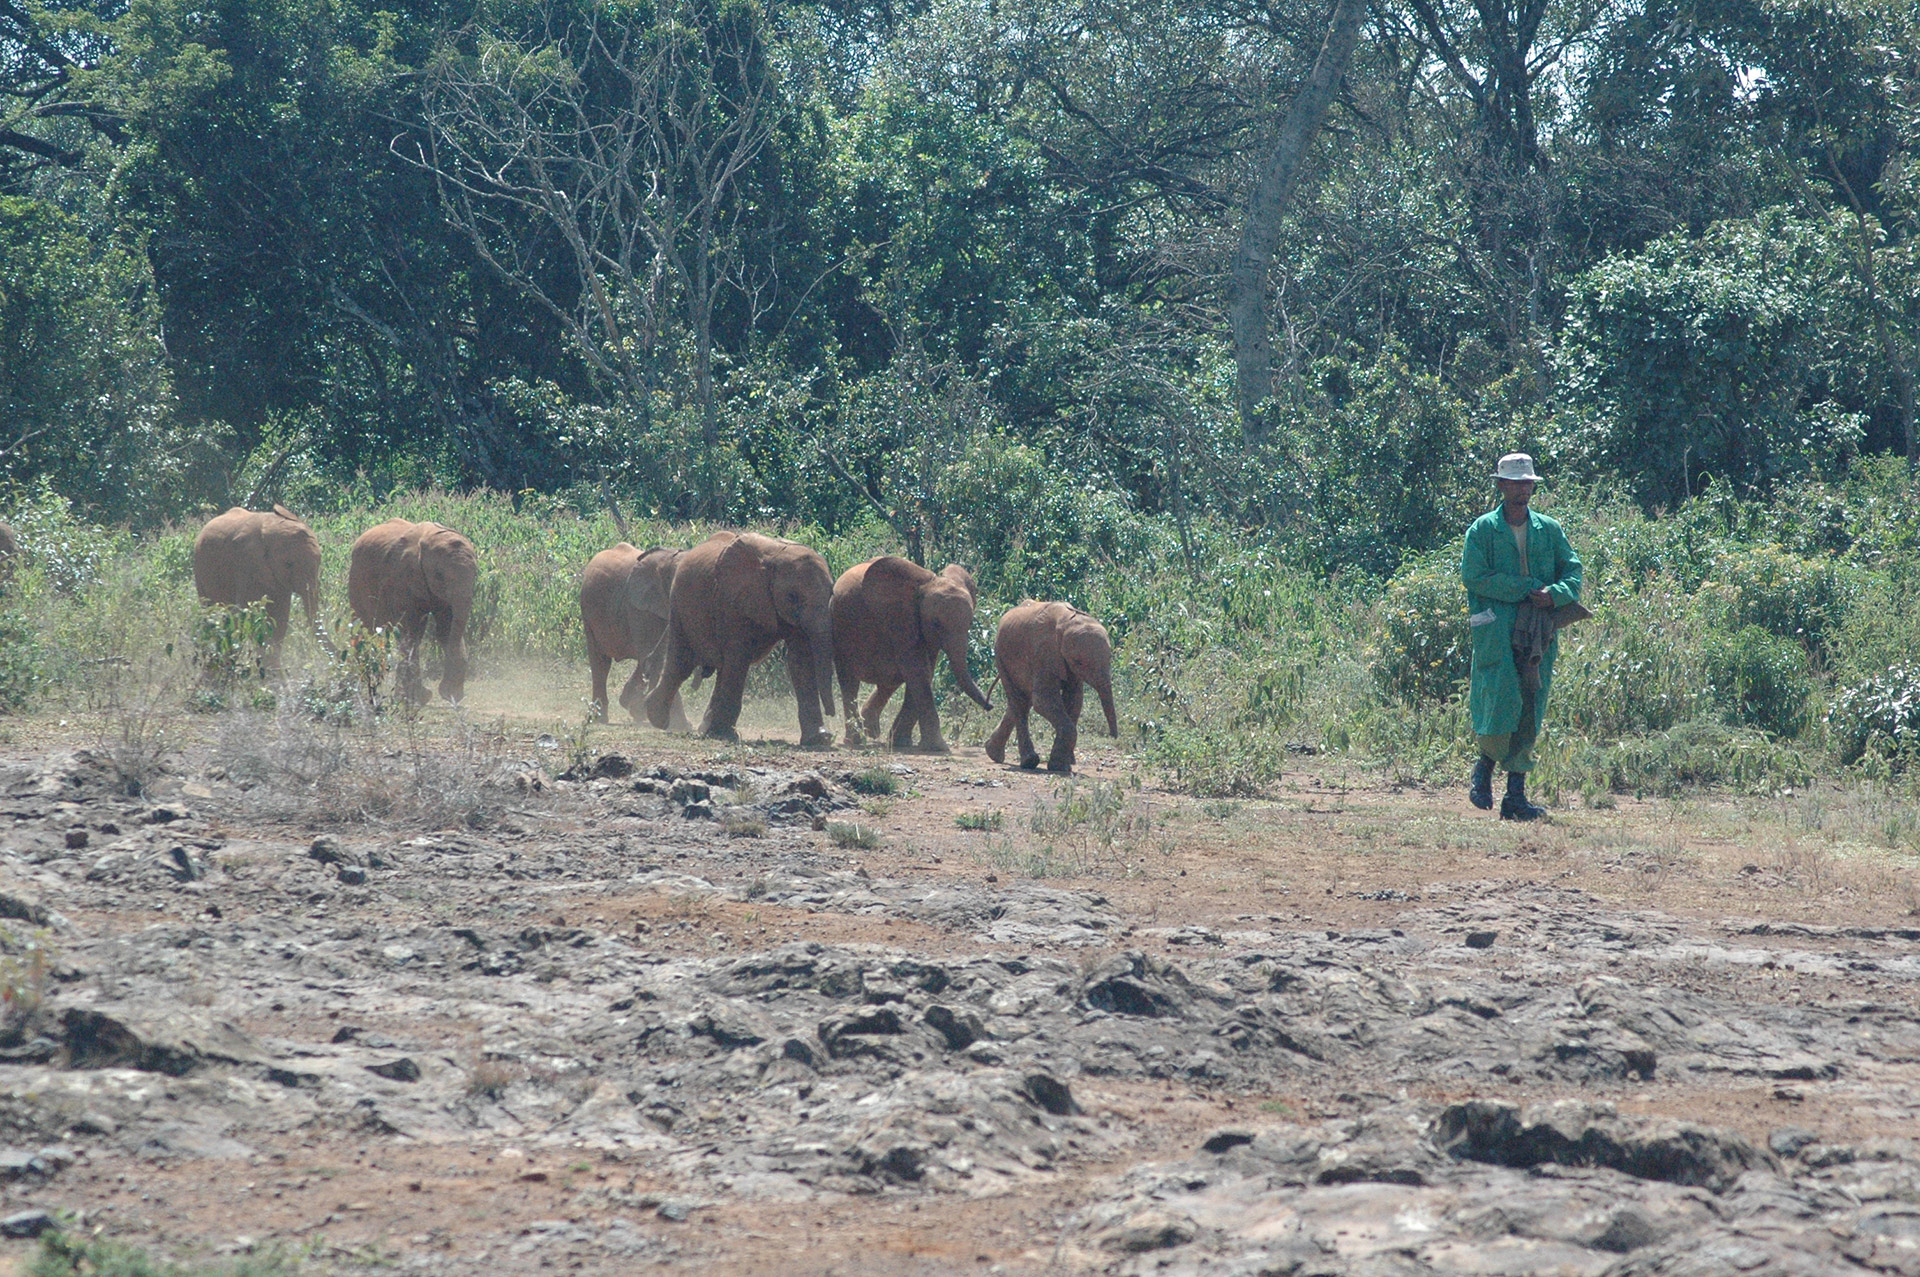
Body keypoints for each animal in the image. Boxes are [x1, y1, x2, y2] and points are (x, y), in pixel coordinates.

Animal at [192, 506, 322, 672]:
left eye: (319, 561)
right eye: (288, 564)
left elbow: (279, 618)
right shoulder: (247, 564)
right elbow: (250, 614)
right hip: (199, 570)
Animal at [347, 514, 478, 702]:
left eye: (476, 574)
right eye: (439, 575)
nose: (446, 691)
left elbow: (446, 627)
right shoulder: (402, 576)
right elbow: (411, 630)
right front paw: (421, 697)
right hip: (356, 579)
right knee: (363, 626)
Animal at [648, 530, 837, 748]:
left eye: (831, 592)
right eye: (793, 596)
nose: (832, 714)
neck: (775, 559)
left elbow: (800, 660)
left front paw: (819, 739)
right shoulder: (732, 599)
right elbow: (739, 656)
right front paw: (726, 735)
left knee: (720, 668)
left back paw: (705, 728)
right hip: (679, 605)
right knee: (682, 663)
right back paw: (657, 718)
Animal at [833, 556, 998, 752]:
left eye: (970, 623)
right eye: (936, 623)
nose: (991, 705)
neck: (926, 585)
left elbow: (925, 671)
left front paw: (901, 742)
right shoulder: (902, 618)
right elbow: (917, 670)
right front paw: (938, 747)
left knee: (890, 680)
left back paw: (870, 730)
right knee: (849, 681)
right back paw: (855, 739)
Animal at [983, 599, 1121, 771]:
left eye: (1110, 658)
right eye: (1079, 662)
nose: (1113, 737)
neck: (1068, 621)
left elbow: (1074, 701)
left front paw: (1063, 764)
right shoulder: (1044, 653)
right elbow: (1044, 701)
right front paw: (1059, 766)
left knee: (1023, 701)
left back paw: (993, 753)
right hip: (1001, 657)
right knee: (1019, 702)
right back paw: (1028, 762)